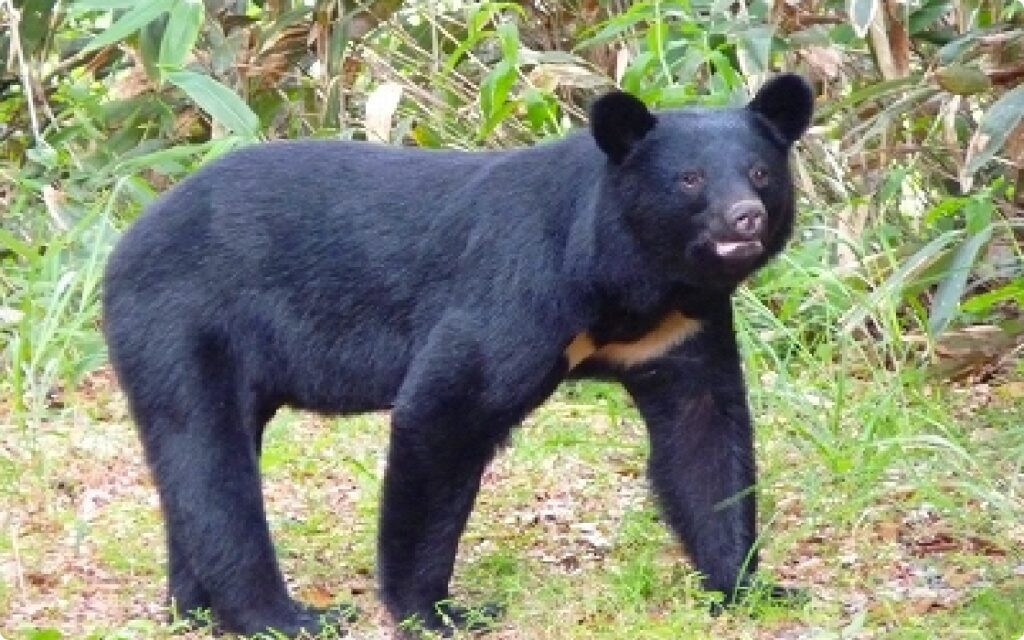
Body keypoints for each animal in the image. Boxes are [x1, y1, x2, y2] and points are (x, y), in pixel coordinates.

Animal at [102, 73, 814, 637]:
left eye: (760, 173)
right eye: (690, 180)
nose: (745, 218)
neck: (637, 279)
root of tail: (126, 240)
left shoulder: (682, 327)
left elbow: (703, 438)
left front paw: (752, 587)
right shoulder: (520, 293)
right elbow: (442, 413)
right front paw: (434, 613)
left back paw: (195, 611)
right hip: (181, 324)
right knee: (210, 463)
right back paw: (285, 617)